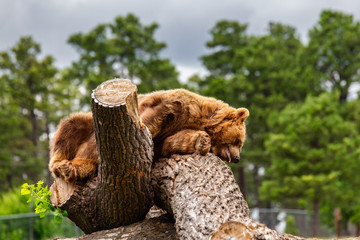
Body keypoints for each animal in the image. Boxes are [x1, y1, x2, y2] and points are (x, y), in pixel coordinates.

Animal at [49, 89, 249, 183]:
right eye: (239, 141)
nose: (237, 158)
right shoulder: (171, 107)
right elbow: (149, 121)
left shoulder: (173, 131)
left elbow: (171, 143)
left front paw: (201, 141)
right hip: (87, 122)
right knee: (69, 127)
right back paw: (63, 165)